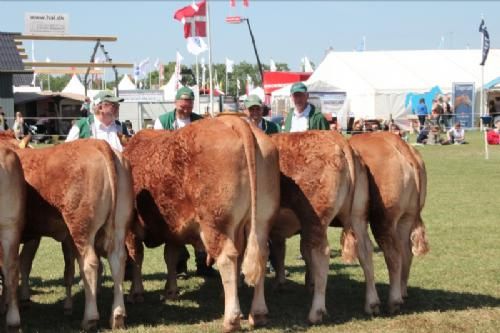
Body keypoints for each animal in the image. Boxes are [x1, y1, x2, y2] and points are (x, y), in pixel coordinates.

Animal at [0, 137, 135, 330]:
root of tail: (99, 144)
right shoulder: (52, 237)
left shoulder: (29, 235)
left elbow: (21, 264)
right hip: (119, 227)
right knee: (117, 261)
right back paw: (117, 316)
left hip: (80, 227)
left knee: (90, 264)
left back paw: (89, 318)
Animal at [124, 116, 282, 330]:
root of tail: (233, 120)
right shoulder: (174, 229)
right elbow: (170, 257)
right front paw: (171, 291)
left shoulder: (131, 229)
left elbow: (136, 257)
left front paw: (136, 292)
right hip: (262, 220)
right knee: (260, 255)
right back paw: (258, 313)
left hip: (215, 223)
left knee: (227, 258)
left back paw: (231, 319)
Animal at [268, 131, 376, 322]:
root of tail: (337, 139)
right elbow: (283, 253)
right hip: (358, 215)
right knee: (365, 251)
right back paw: (372, 303)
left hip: (316, 217)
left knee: (322, 255)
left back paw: (316, 312)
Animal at [348, 131, 430, 312]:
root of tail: (401, 146)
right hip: (407, 217)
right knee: (406, 252)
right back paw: (402, 292)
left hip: (382, 218)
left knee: (392, 254)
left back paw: (392, 301)